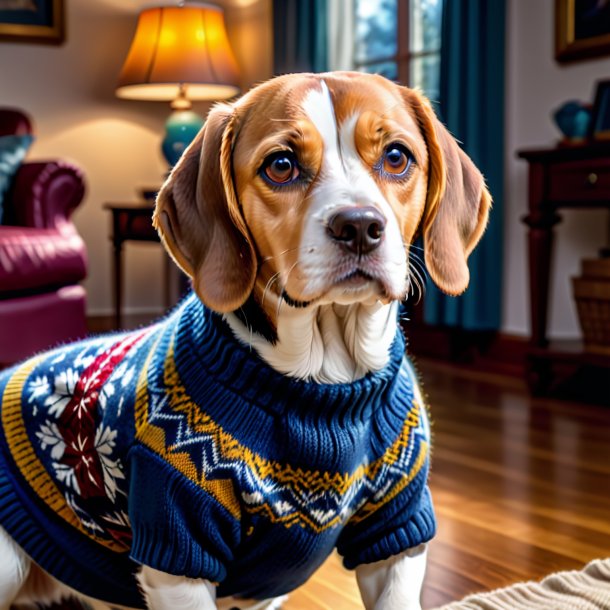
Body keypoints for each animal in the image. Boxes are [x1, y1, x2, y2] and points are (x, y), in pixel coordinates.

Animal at [0, 72, 486, 608]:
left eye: (397, 157)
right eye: (281, 165)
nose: (359, 225)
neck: (325, 384)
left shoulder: (396, 532)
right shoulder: (178, 551)